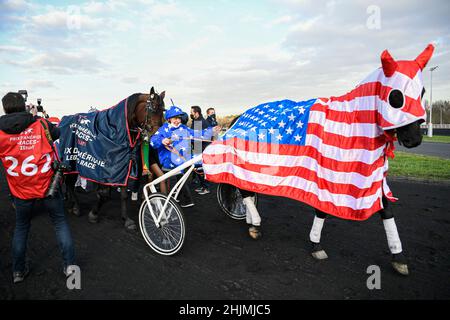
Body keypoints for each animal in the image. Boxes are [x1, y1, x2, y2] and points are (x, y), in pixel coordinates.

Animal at [64, 86, 166, 229]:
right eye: (152, 108)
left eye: (163, 110)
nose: (157, 135)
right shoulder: (103, 167)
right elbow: (104, 195)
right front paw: (93, 214)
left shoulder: (123, 164)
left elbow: (123, 194)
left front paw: (126, 219)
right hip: (70, 161)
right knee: (68, 182)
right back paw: (76, 207)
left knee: (69, 183)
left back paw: (72, 205)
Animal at [205, 44, 436, 276]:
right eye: (396, 96)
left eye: (422, 92)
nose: (414, 139)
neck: (351, 123)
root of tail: (239, 117)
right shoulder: (324, 172)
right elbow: (322, 209)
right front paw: (316, 244)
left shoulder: (369, 176)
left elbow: (386, 209)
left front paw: (398, 257)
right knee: (244, 191)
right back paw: (255, 223)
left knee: (246, 189)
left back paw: (251, 220)